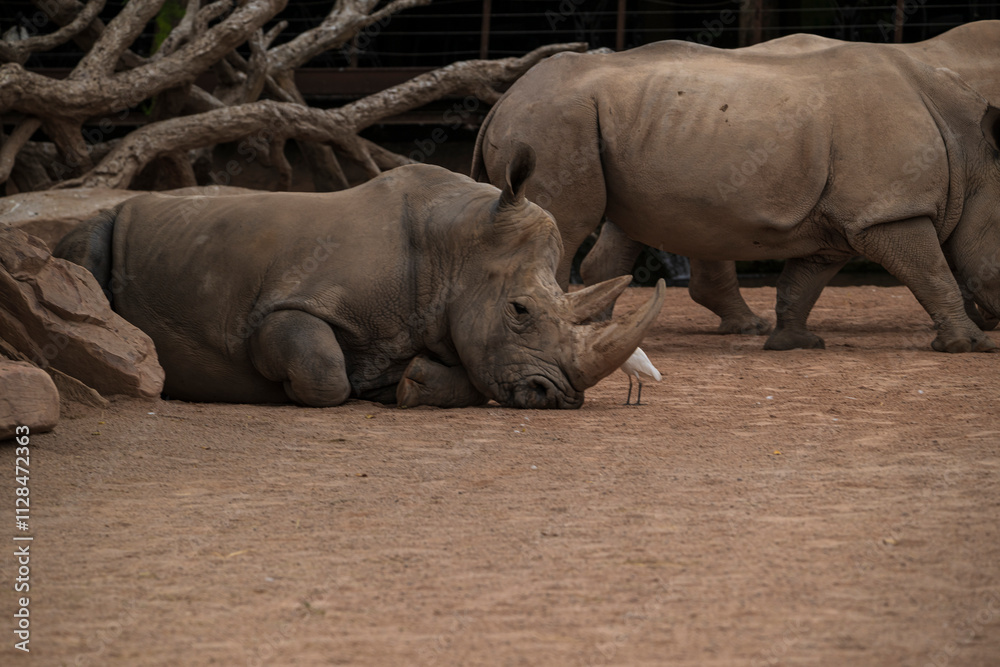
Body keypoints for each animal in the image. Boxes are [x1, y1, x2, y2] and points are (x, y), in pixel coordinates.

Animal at [54, 145, 665, 408]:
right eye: (519, 310)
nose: (558, 396)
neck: (456, 247)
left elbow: (465, 379)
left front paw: (406, 385)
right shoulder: (282, 307)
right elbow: (325, 373)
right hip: (105, 223)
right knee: (82, 250)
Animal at [473, 31, 1000, 353]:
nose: (998, 324)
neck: (972, 152)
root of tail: (505, 98)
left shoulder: (843, 221)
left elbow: (804, 279)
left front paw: (794, 343)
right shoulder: (887, 211)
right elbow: (932, 270)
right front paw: (969, 345)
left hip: (591, 123)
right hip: (554, 122)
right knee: (564, 225)